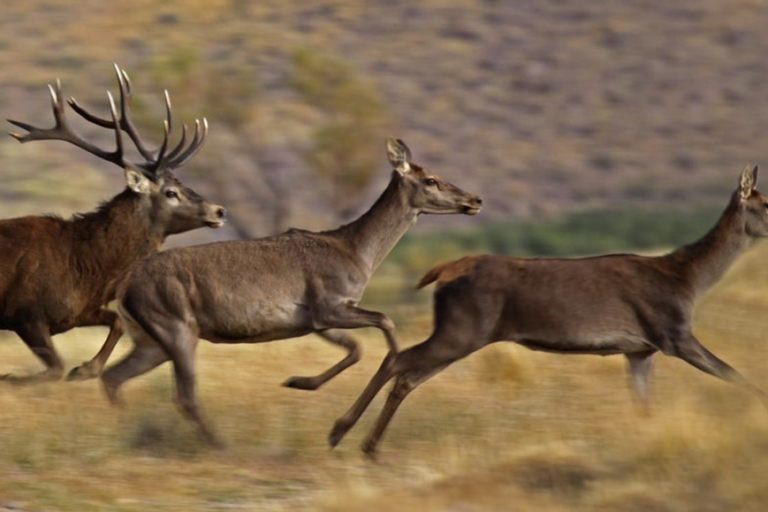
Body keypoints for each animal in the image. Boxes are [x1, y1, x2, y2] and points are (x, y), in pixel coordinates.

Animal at [0, 65, 225, 384]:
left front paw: (84, 369)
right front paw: (10, 377)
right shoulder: (25, 313)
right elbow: (54, 368)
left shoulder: (78, 312)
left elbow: (117, 322)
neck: (85, 270)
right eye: (171, 193)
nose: (219, 210)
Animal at [85, 138, 481, 445]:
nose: (474, 200)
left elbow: (356, 349)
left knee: (114, 377)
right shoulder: (328, 305)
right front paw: (339, 427)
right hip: (176, 327)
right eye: (431, 179)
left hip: (150, 340)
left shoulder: (316, 321)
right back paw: (222, 446)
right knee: (184, 395)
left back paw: (127, 433)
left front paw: (300, 384)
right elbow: (386, 325)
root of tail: (124, 285)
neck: (357, 254)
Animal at [328, 164, 768, 456]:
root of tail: (444, 270)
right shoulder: (672, 333)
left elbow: (645, 405)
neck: (688, 280)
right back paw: (340, 432)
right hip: (462, 330)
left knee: (407, 376)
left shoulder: (640, 350)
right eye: (766, 203)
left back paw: (367, 445)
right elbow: (737, 375)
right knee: (399, 359)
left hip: (461, 334)